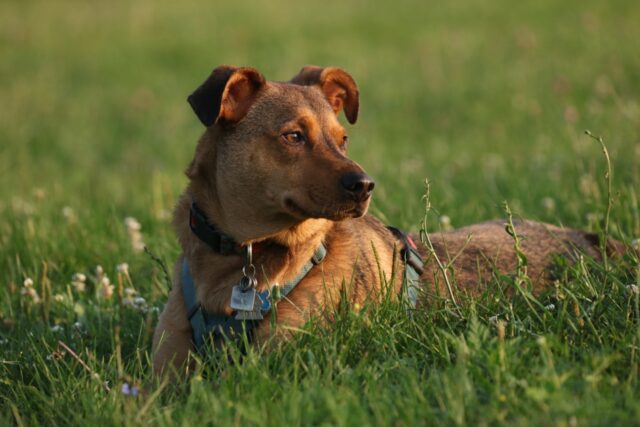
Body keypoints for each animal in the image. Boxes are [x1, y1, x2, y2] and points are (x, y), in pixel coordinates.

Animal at [151, 64, 624, 374]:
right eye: (293, 136)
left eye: (342, 139)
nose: (365, 185)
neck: (242, 257)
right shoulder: (163, 373)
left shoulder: (279, 359)